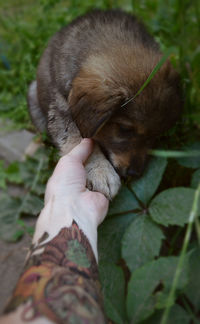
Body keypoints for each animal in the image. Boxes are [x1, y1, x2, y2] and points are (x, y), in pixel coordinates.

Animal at [27, 8, 182, 199]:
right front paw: (101, 172)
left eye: (156, 136)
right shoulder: (62, 110)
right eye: (124, 129)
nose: (134, 174)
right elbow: (80, 140)